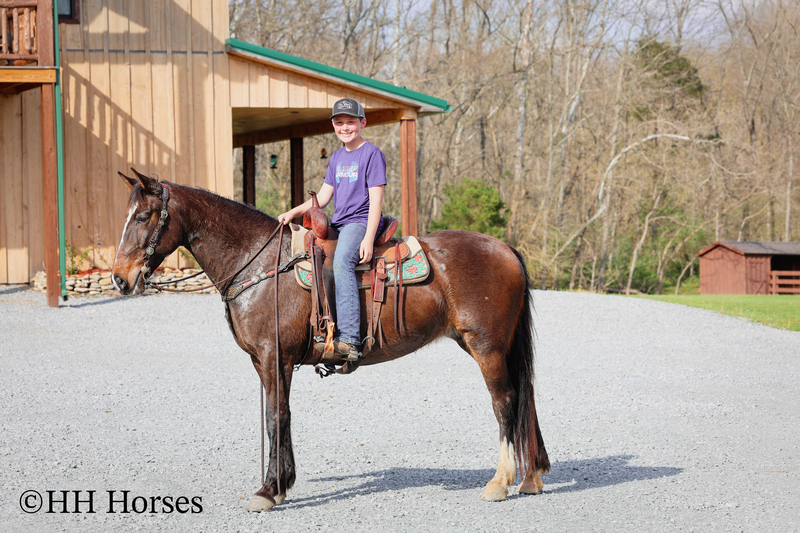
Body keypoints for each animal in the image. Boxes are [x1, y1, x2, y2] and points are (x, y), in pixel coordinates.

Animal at [111, 168, 550, 511]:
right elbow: (282, 415)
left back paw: (500, 482)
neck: (261, 264)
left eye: (145, 215)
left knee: (505, 402)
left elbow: (275, 417)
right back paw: (531, 478)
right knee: (524, 398)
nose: (119, 278)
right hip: (499, 346)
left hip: (486, 346)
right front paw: (282, 485)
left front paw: (267, 491)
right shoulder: (268, 361)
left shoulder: (274, 356)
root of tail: (504, 248)